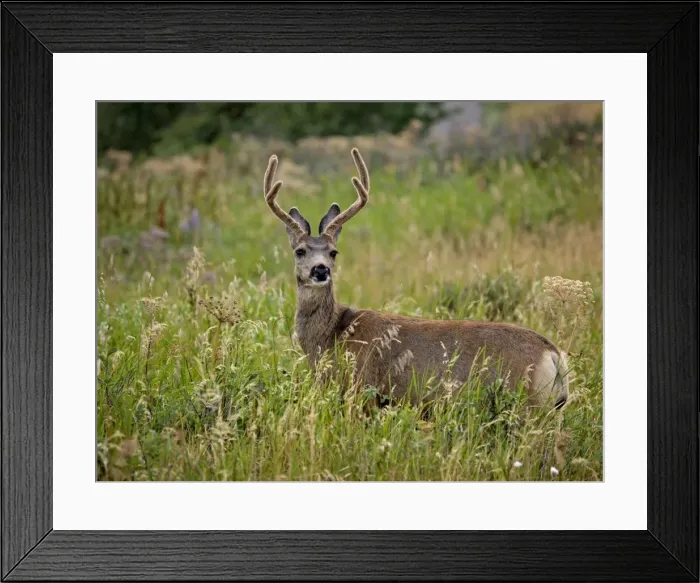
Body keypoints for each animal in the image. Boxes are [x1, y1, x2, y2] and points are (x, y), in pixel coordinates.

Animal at [262, 148, 570, 411]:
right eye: (300, 250)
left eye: (333, 252)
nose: (320, 270)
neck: (331, 336)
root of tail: (553, 354)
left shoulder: (363, 391)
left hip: (527, 402)